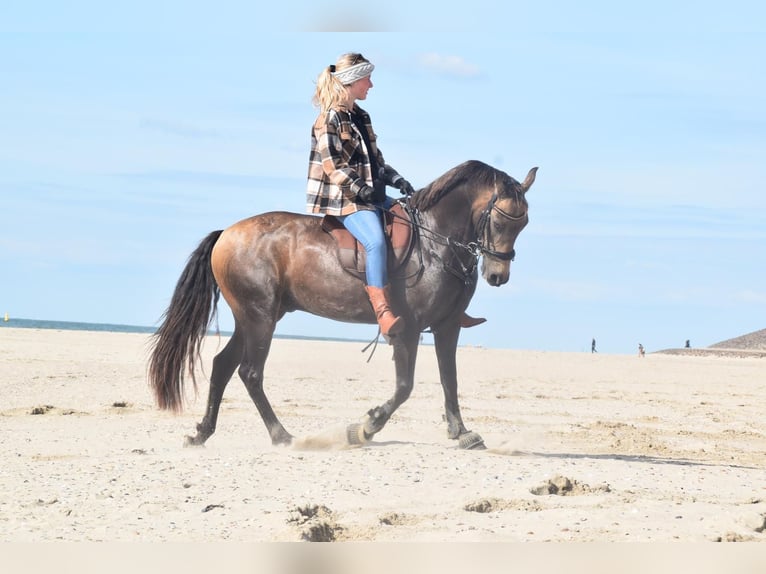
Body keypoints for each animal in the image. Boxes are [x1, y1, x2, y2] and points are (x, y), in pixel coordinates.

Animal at [147, 160, 536, 452]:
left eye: (525, 223)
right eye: (499, 220)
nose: (498, 275)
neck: (434, 242)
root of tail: (226, 234)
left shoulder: (447, 326)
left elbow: (449, 379)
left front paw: (462, 432)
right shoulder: (408, 330)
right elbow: (404, 386)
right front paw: (366, 426)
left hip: (251, 319)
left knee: (223, 366)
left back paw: (202, 432)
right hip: (259, 318)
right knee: (249, 372)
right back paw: (282, 435)